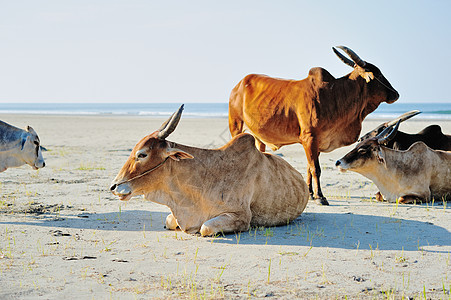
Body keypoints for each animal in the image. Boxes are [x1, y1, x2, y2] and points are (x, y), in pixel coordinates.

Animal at [230, 45, 400, 205]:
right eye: (378, 74)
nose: (396, 94)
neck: (335, 94)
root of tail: (238, 86)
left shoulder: (317, 141)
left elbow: (309, 168)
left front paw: (311, 194)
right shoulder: (310, 138)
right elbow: (315, 169)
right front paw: (320, 197)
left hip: (259, 137)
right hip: (236, 127)